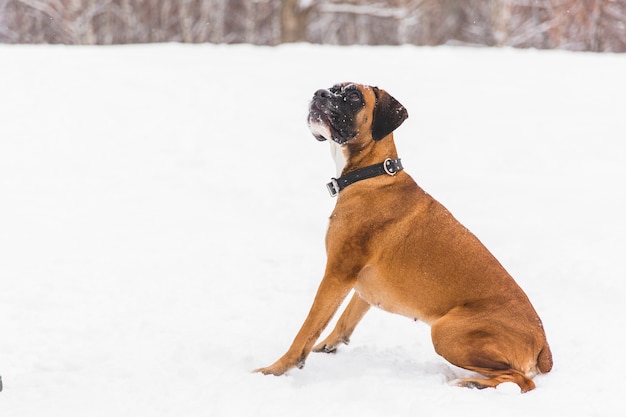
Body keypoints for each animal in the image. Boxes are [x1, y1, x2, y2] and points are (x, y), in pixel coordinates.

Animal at [255, 83, 552, 392]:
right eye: (334, 87)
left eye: (354, 96)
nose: (320, 93)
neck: (370, 174)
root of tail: (543, 343)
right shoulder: (361, 286)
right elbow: (344, 321)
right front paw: (326, 347)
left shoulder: (337, 274)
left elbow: (307, 330)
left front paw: (274, 370)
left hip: (446, 332)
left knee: (522, 380)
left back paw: (470, 383)